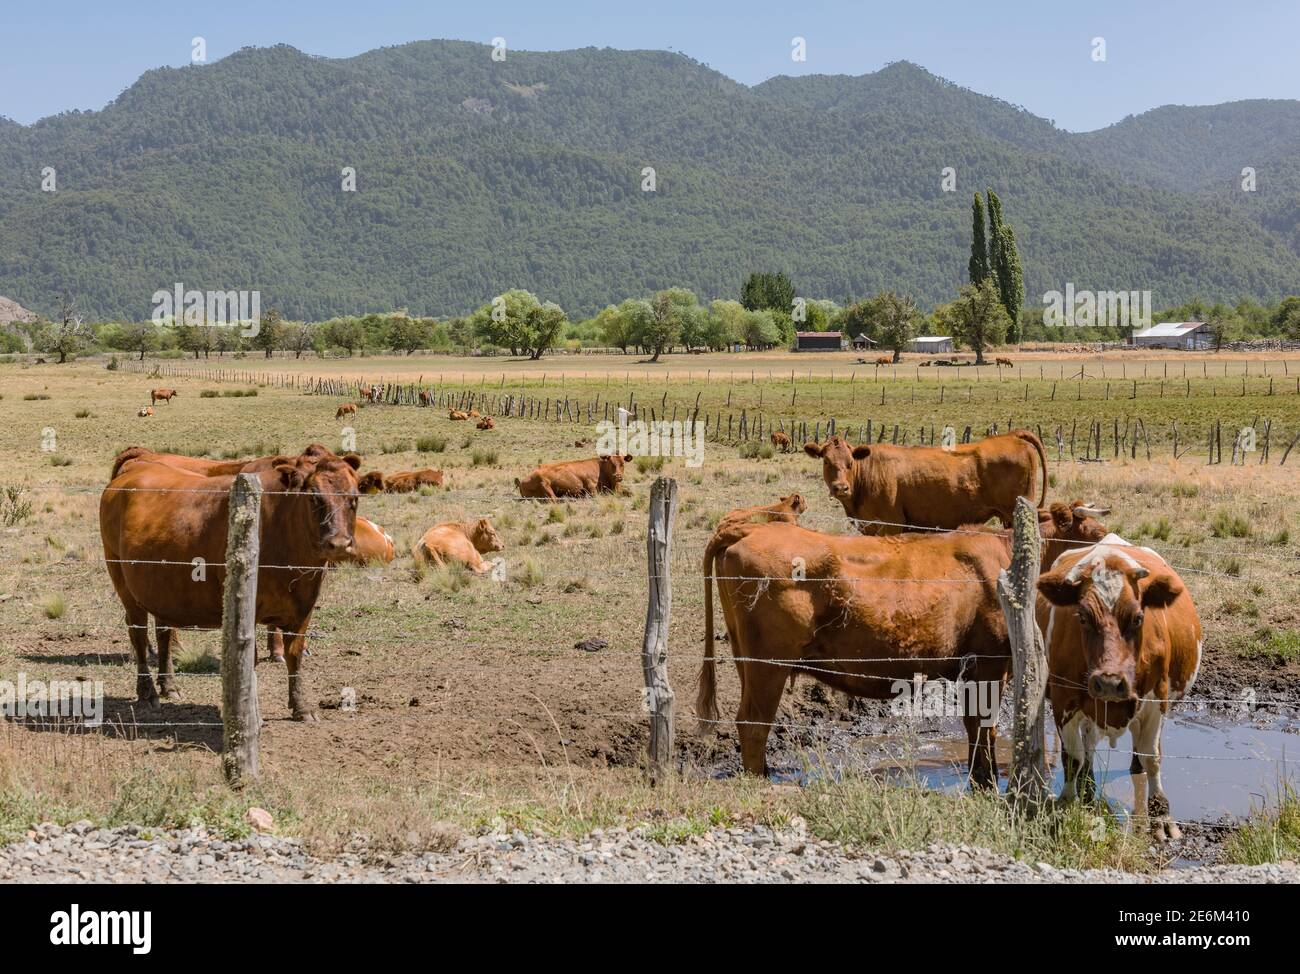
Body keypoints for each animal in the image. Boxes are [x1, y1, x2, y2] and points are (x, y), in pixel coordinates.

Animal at [1029, 535, 1201, 837]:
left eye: (1138, 618)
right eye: (1082, 617)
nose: (1109, 682)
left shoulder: (1156, 700)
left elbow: (1152, 757)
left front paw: (1160, 814)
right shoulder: (1064, 701)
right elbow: (1072, 758)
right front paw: (1066, 803)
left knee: (1141, 752)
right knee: (1087, 747)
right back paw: (1087, 786)